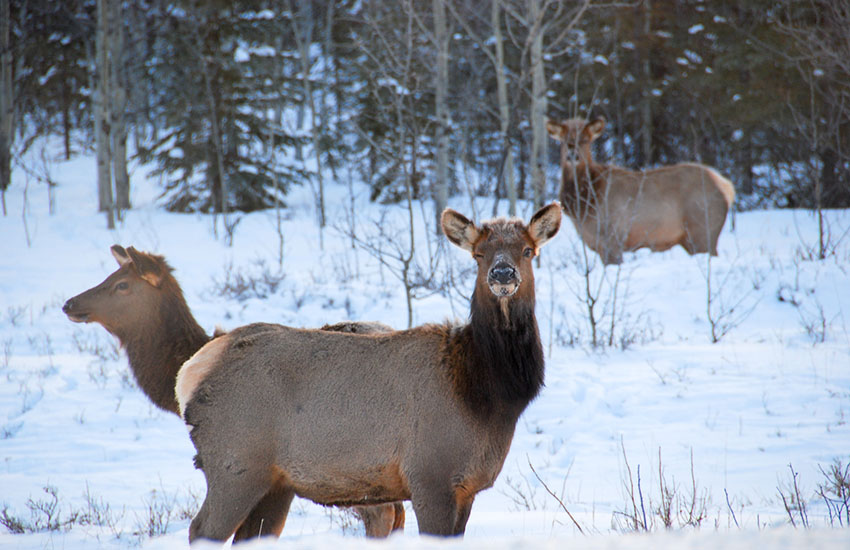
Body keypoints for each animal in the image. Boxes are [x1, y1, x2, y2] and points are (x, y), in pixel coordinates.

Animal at [177, 205, 564, 544]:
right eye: (479, 254)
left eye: (527, 250)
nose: (502, 275)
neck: (485, 396)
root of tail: (190, 373)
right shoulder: (429, 475)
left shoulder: (468, 487)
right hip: (235, 464)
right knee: (201, 529)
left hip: (274, 483)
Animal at [544, 116, 736, 266]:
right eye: (563, 140)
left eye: (585, 139)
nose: (572, 155)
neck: (587, 203)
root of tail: (726, 187)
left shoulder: (613, 239)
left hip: (703, 231)